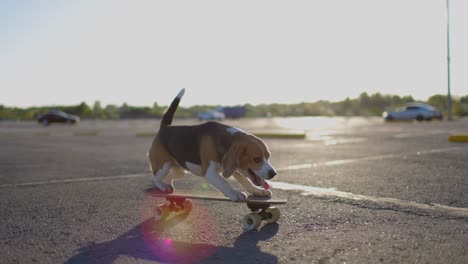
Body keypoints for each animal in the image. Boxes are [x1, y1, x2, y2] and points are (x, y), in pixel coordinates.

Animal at [148, 88, 276, 202]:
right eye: (257, 159)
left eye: (268, 157)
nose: (273, 174)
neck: (228, 139)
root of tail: (165, 127)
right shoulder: (209, 172)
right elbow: (223, 182)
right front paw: (234, 193)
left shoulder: (231, 167)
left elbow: (246, 180)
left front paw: (258, 191)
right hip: (163, 165)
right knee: (154, 178)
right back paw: (162, 186)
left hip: (181, 171)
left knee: (169, 177)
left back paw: (168, 185)